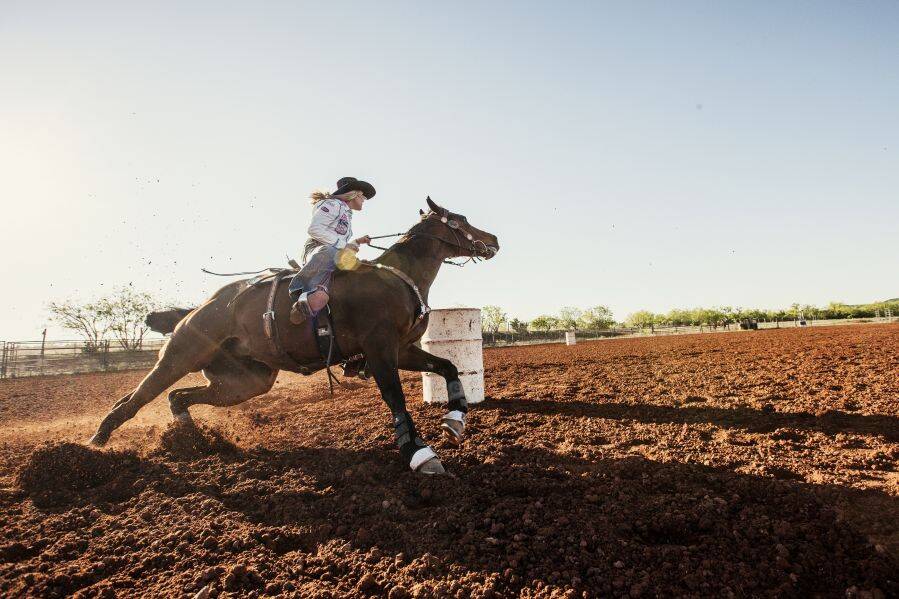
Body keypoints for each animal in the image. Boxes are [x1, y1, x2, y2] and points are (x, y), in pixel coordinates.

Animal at [89, 199, 500, 476]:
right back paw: (94, 446)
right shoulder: (380, 349)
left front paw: (455, 422)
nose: (493, 239)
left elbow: (448, 367)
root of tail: (198, 307)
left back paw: (190, 438)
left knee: (178, 397)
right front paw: (419, 453)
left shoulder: (403, 350)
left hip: (245, 381)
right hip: (180, 355)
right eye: (460, 220)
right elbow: (396, 398)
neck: (397, 278)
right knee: (134, 400)